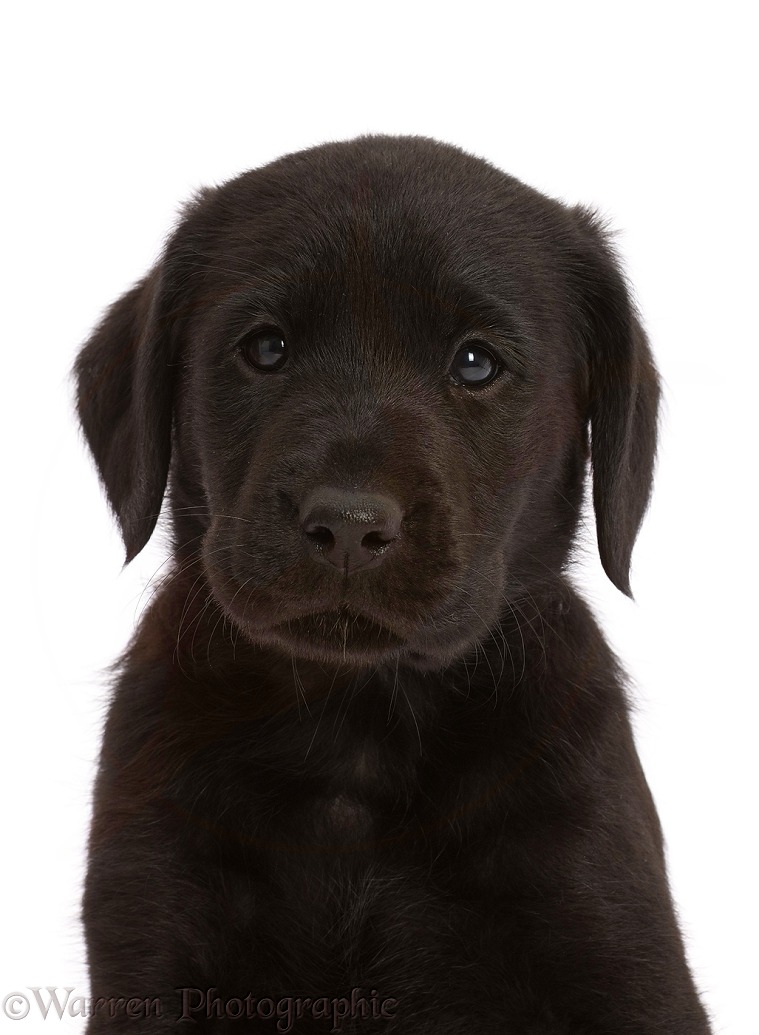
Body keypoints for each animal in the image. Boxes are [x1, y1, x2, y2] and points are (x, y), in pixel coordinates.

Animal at [74, 137, 708, 1035]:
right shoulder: (153, 938)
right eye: (265, 349)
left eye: (475, 362)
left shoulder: (618, 944)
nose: (347, 523)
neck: (359, 725)